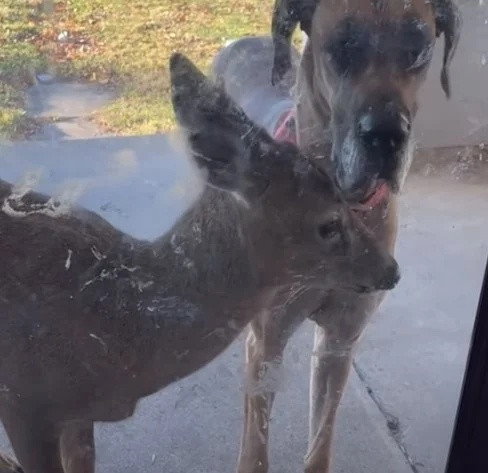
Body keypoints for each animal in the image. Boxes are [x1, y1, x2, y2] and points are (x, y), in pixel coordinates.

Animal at [211, 1, 461, 472]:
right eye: (343, 46)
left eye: (419, 48)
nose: (387, 135)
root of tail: (235, 42)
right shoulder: (267, 344)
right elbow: (256, 448)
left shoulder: (339, 344)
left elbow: (321, 441)